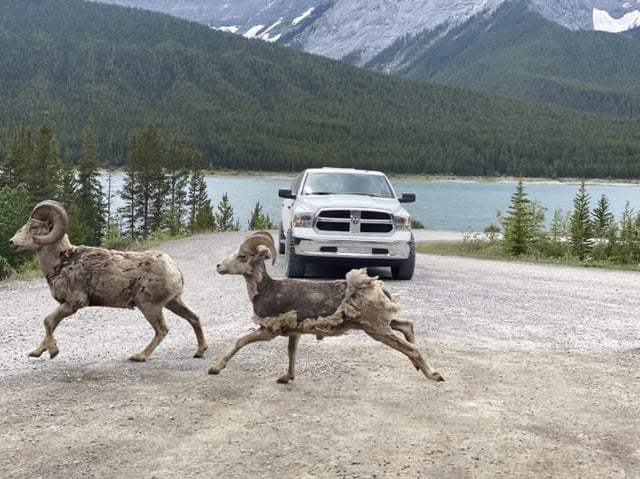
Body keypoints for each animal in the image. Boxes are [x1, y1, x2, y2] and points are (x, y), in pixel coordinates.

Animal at [9, 200, 208, 362]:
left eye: (33, 227)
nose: (11, 242)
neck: (62, 262)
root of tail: (174, 269)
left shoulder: (75, 303)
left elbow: (48, 321)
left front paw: (53, 351)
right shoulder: (65, 305)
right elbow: (52, 324)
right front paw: (36, 352)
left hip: (150, 307)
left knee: (162, 330)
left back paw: (139, 356)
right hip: (173, 302)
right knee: (194, 318)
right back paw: (199, 351)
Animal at [209, 231, 443, 383]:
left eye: (242, 256)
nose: (219, 266)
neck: (266, 289)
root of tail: (377, 287)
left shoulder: (268, 330)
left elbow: (241, 341)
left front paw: (215, 368)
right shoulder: (294, 332)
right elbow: (291, 353)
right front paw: (286, 377)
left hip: (377, 328)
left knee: (411, 347)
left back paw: (435, 375)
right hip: (381, 323)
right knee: (407, 325)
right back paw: (420, 368)